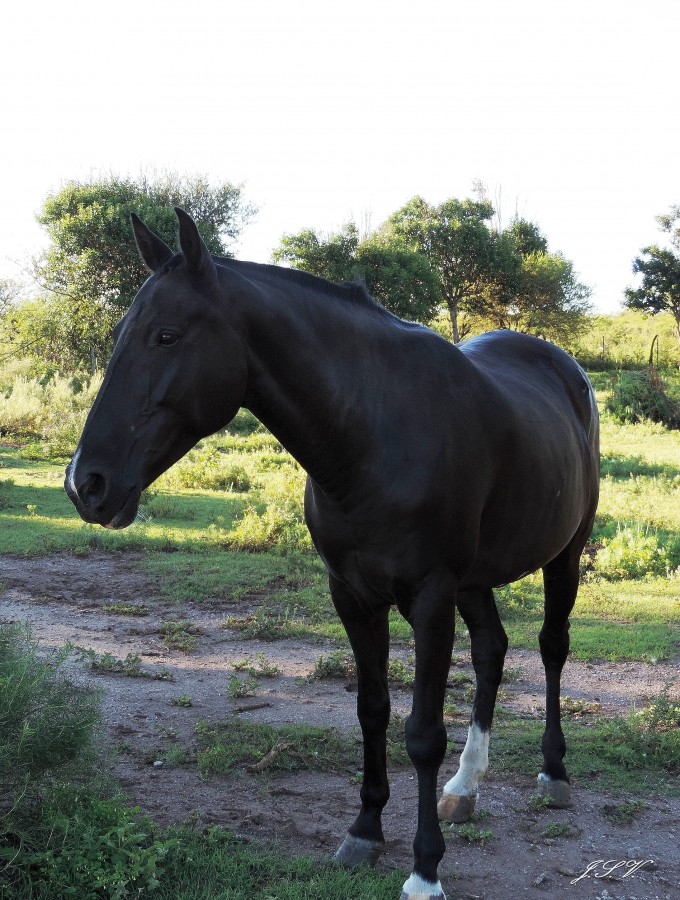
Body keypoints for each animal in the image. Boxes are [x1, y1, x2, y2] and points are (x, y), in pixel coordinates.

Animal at [62, 209, 596, 900]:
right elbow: (373, 712)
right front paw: (365, 830)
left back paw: (553, 774)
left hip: (564, 553)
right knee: (492, 651)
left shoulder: (429, 598)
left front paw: (425, 871)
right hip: (474, 581)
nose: (86, 484)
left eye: (167, 335)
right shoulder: (353, 595)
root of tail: (564, 367)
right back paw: (464, 786)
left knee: (552, 649)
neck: (373, 434)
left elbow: (422, 733)